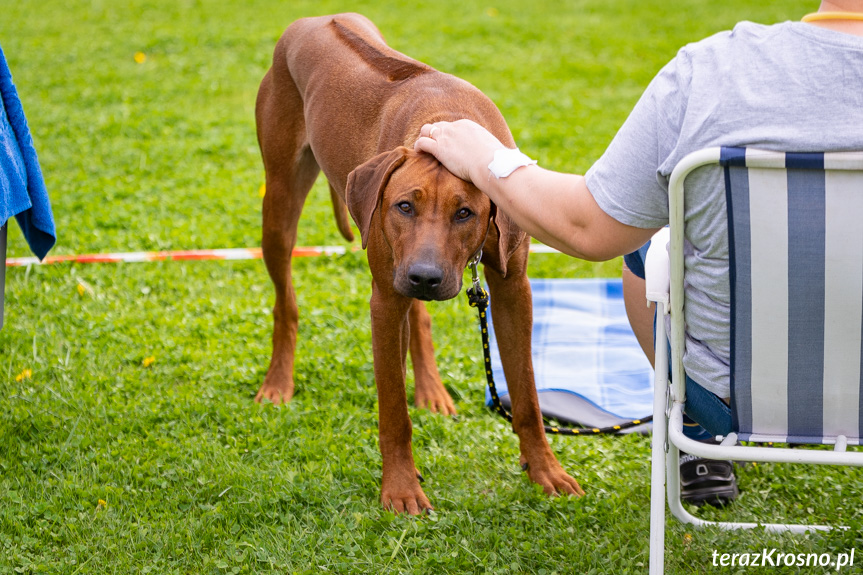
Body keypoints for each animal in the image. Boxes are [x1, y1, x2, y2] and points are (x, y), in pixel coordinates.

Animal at [253, 12, 584, 512]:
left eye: (465, 213)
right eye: (404, 206)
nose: (425, 277)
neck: (445, 120)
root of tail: (317, 17)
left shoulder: (513, 289)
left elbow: (527, 396)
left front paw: (545, 470)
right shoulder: (386, 300)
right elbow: (394, 412)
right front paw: (402, 488)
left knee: (421, 319)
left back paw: (432, 391)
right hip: (279, 207)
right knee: (284, 303)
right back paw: (278, 382)